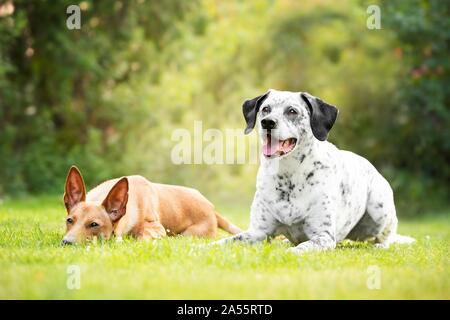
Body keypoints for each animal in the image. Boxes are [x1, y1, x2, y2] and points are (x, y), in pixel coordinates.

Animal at [62, 166, 243, 244]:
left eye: (94, 224)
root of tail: (211, 208)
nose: (66, 243)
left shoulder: (157, 228)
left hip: (190, 234)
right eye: (69, 221)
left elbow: (141, 236)